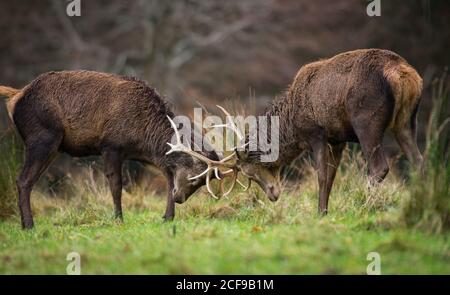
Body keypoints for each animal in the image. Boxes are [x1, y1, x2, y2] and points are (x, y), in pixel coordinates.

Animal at [0, 70, 232, 230]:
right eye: (195, 178)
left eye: (203, 183)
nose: (180, 199)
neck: (144, 137)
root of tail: (16, 97)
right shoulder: (111, 145)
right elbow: (116, 185)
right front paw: (119, 219)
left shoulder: (152, 158)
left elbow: (168, 180)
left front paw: (167, 217)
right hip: (42, 137)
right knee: (23, 180)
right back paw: (29, 225)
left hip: (53, 146)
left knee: (28, 180)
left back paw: (26, 223)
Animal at [229, 48, 422, 215]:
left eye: (251, 173)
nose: (273, 195)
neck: (292, 126)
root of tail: (402, 74)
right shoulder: (337, 140)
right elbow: (331, 176)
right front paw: (325, 211)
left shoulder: (316, 134)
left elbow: (321, 175)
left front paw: (320, 211)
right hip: (406, 122)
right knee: (418, 160)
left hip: (366, 122)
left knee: (379, 167)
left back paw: (365, 205)